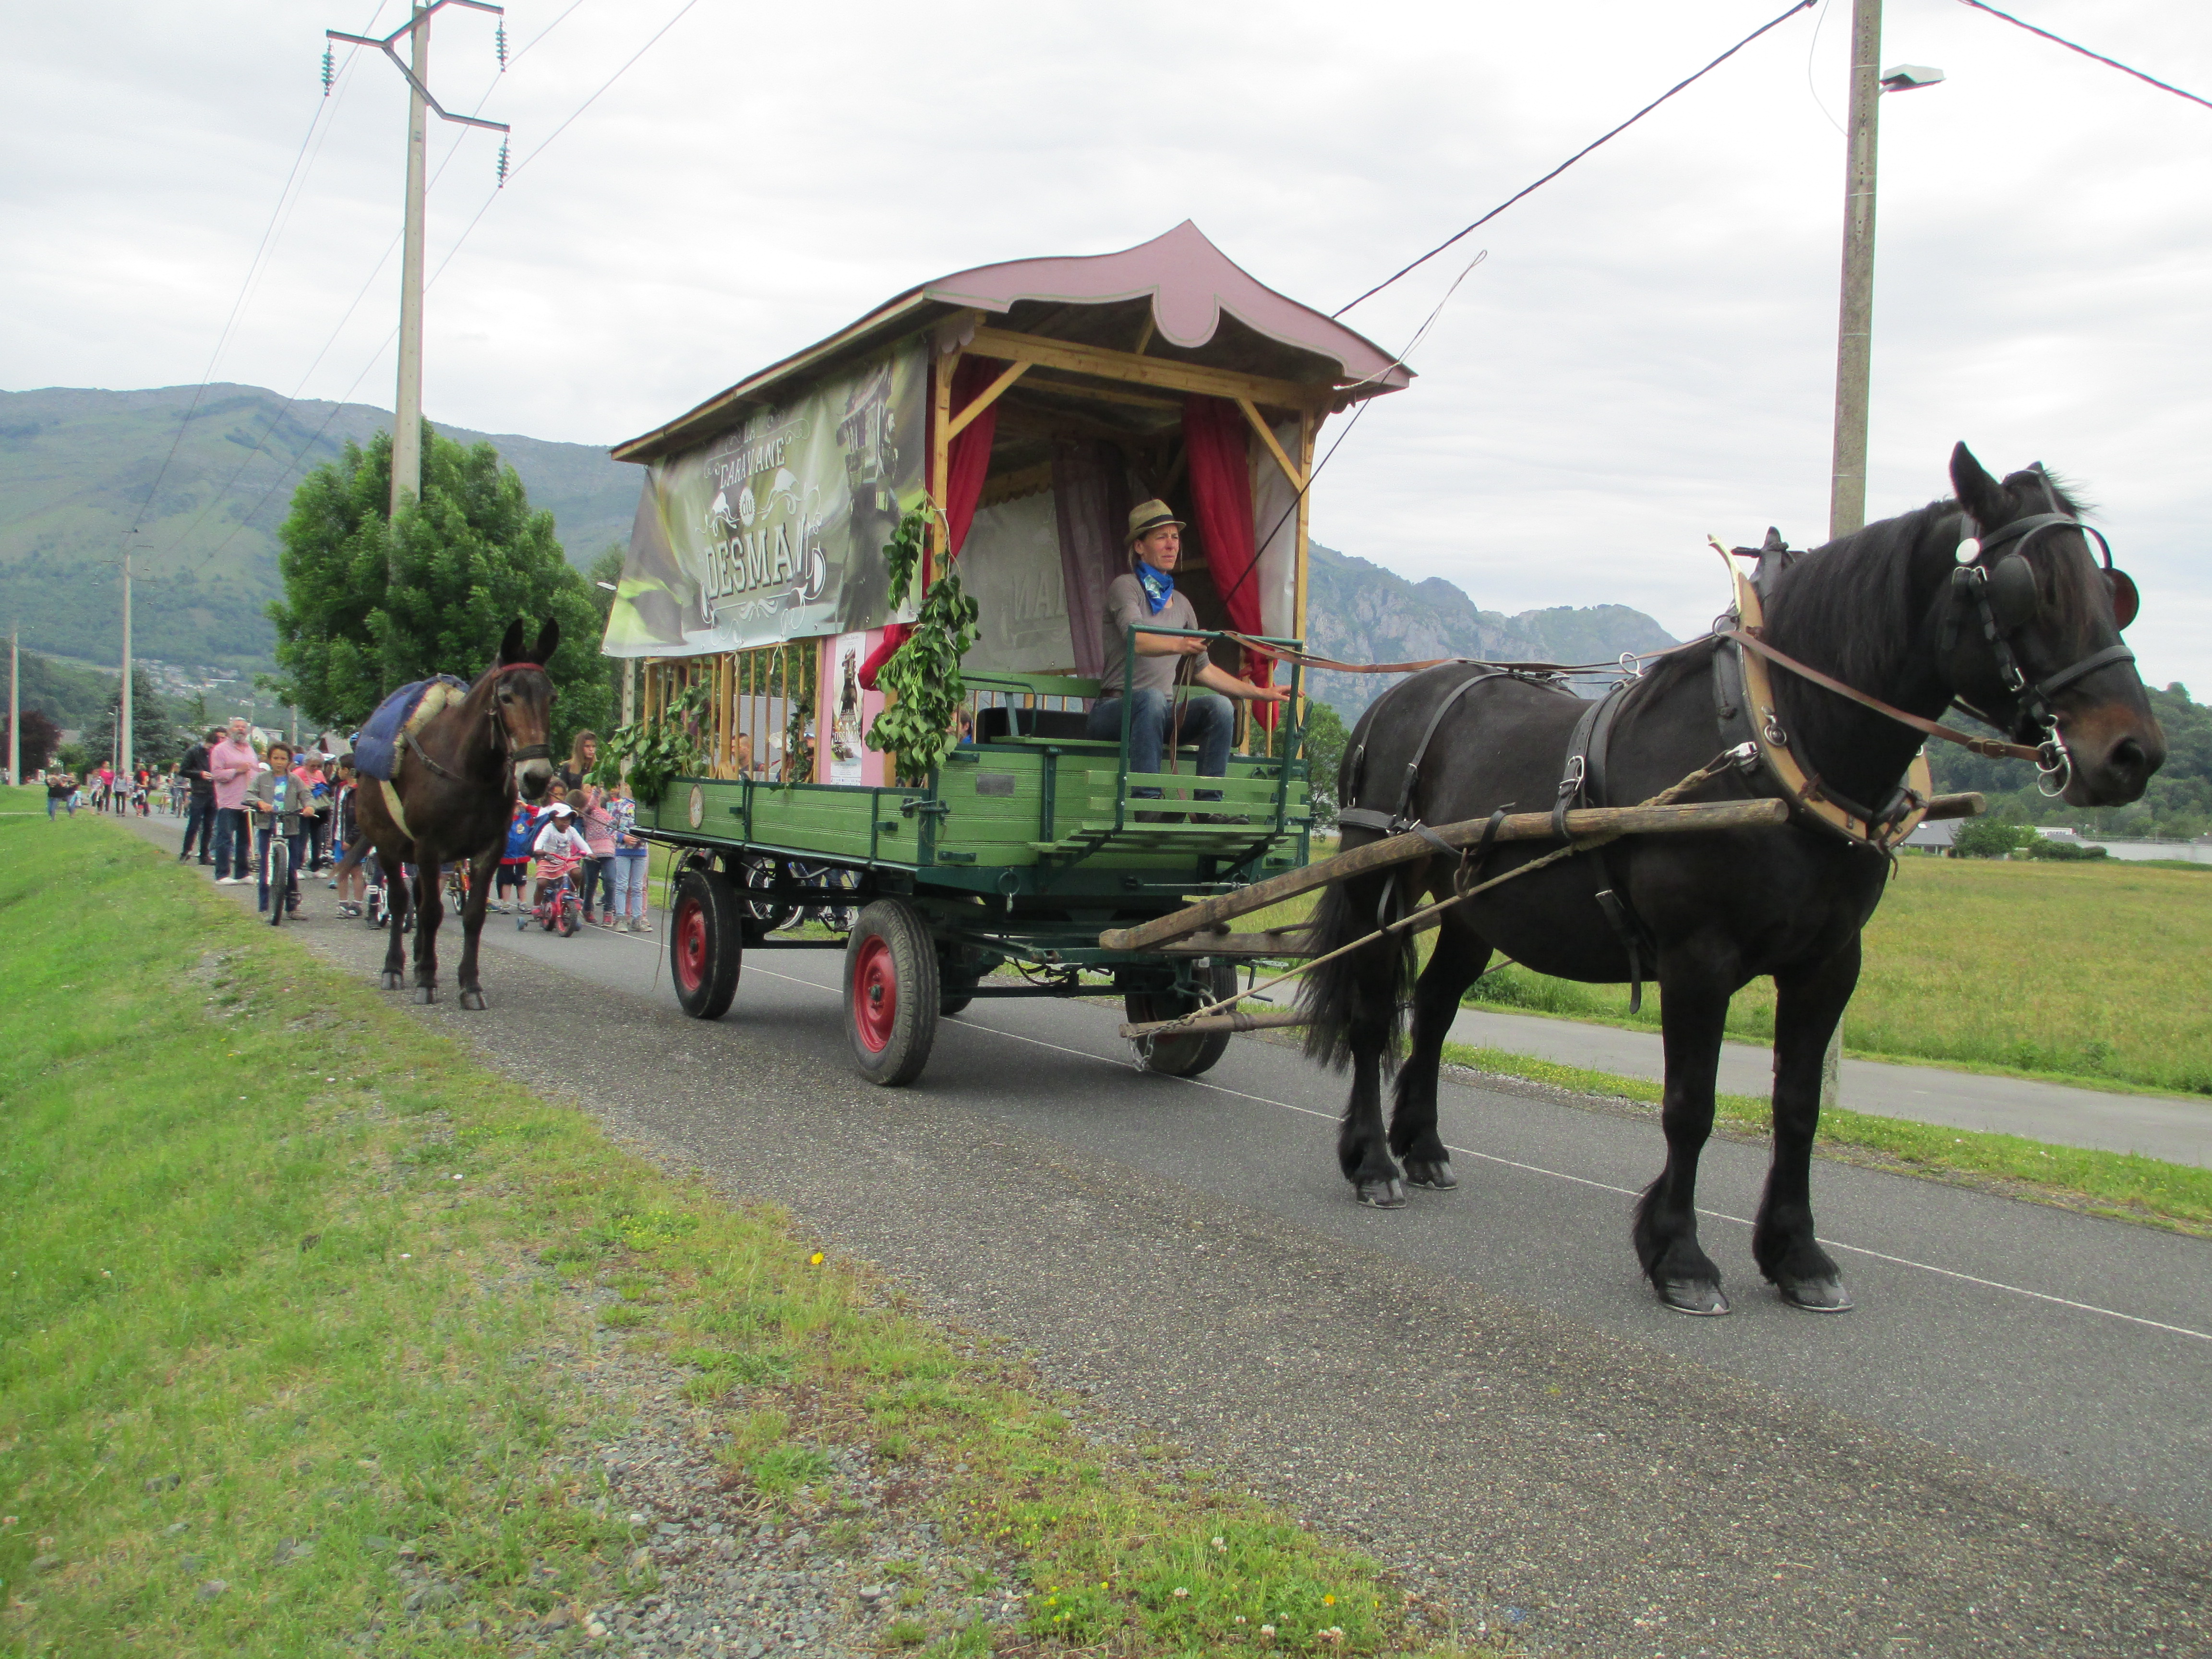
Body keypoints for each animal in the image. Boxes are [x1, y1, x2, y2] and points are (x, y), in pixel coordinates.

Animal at [343, 619, 562, 1009]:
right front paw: (427, 980)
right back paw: (396, 968)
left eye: (550, 698)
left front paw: (469, 984)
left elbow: (473, 916)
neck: (469, 772)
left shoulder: (487, 851)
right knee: (400, 901)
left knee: (416, 898)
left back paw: (417, 960)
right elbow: (431, 911)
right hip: (389, 848)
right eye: (507, 696)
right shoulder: (429, 848)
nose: (536, 778)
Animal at [1292, 449, 2159, 1318]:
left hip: (1475, 903)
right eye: (2026, 587)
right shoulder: (1696, 959)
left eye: (2112, 589)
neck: (1780, 743)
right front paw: (1679, 1255)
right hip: (1377, 879)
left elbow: (1798, 1108)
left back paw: (1423, 1147)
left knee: (1435, 1010)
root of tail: (1398, 698)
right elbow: (1691, 1106)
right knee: (1373, 1014)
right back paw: (1372, 1162)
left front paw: (1797, 1253)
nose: (2133, 752)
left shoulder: (1829, 963)